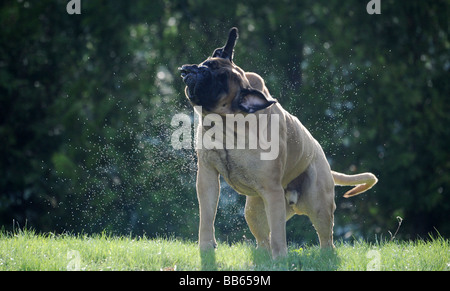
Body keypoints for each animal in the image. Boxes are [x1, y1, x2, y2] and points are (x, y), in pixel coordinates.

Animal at [178, 28, 376, 260]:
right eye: (207, 64)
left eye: (221, 81)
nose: (197, 71)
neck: (228, 126)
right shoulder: (208, 178)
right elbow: (207, 218)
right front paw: (206, 248)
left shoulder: (272, 192)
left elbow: (280, 236)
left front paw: (280, 259)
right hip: (254, 210)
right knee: (264, 239)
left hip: (319, 205)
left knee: (325, 239)